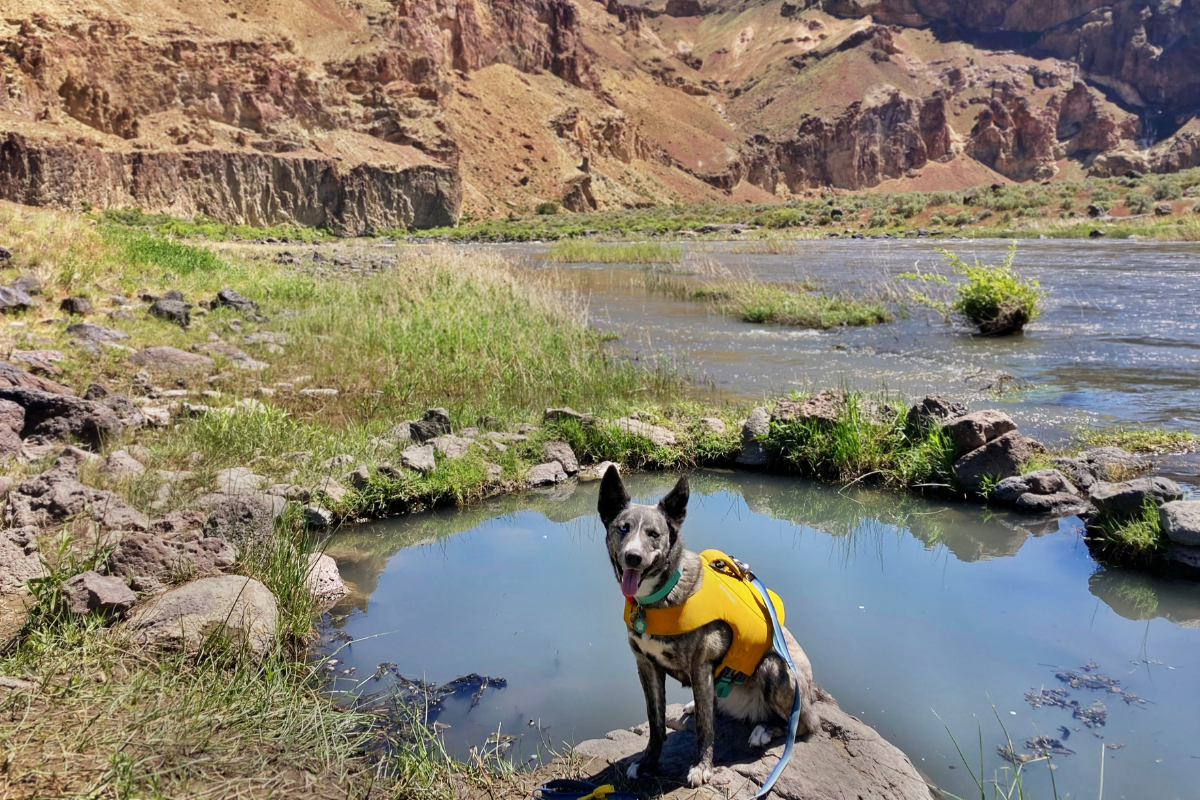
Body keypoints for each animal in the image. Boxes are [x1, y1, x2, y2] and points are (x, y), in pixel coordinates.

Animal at [600, 470, 825, 786]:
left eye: (654, 534)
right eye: (623, 528)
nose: (633, 557)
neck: (660, 596)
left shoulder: (701, 665)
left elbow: (704, 728)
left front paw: (702, 767)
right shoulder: (646, 665)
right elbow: (656, 723)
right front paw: (647, 763)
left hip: (773, 668)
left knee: (803, 724)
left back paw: (765, 730)